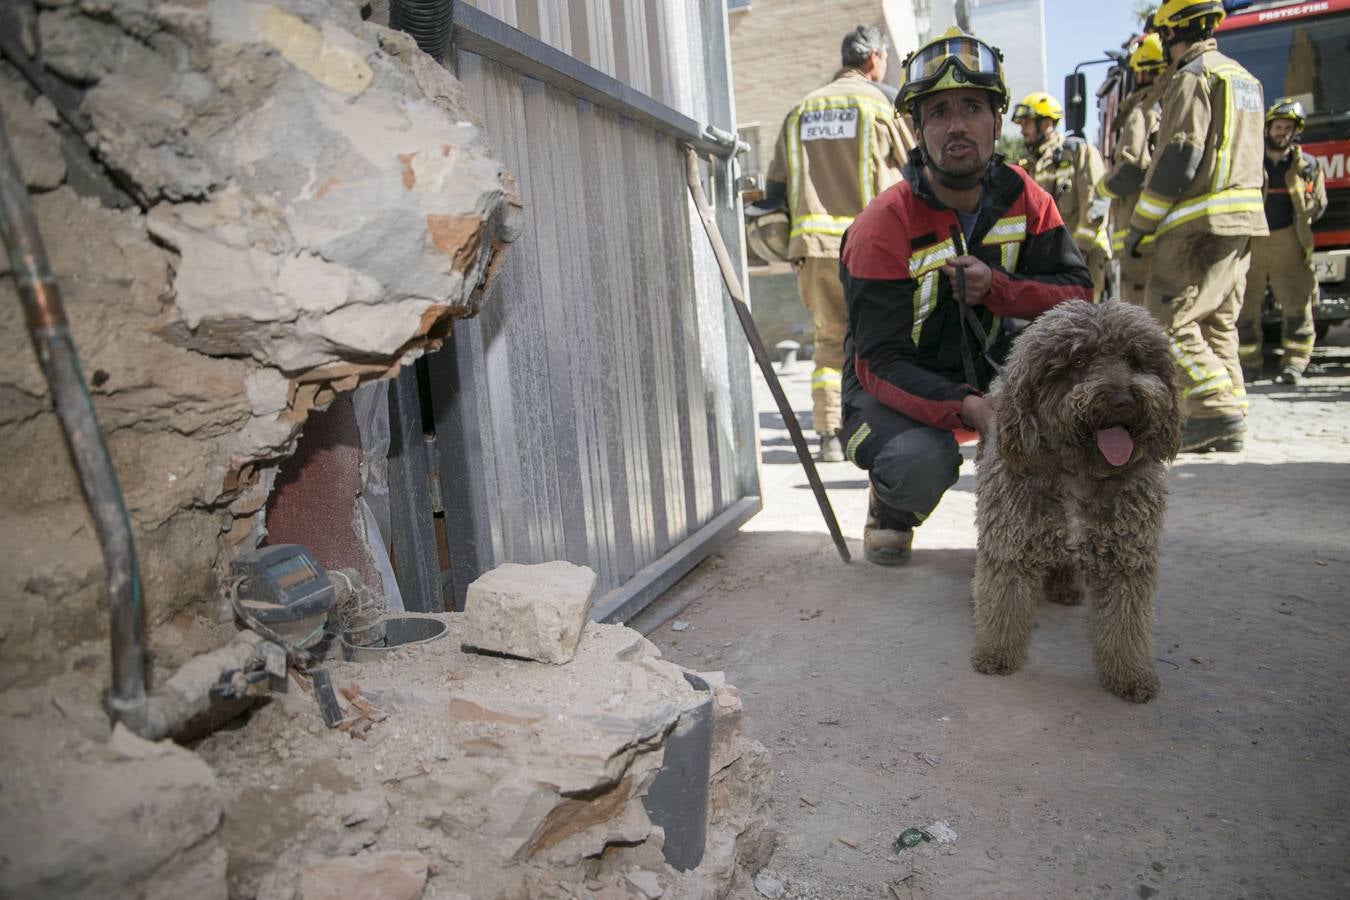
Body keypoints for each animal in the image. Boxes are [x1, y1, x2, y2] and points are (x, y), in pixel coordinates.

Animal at [972, 302, 1182, 701]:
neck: (1078, 476)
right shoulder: (1010, 542)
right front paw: (996, 653)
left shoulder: (1128, 559)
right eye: (1079, 361)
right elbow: (1004, 602)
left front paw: (1131, 674)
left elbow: (1126, 624)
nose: (1123, 400)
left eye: (1135, 360)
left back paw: (1065, 585)